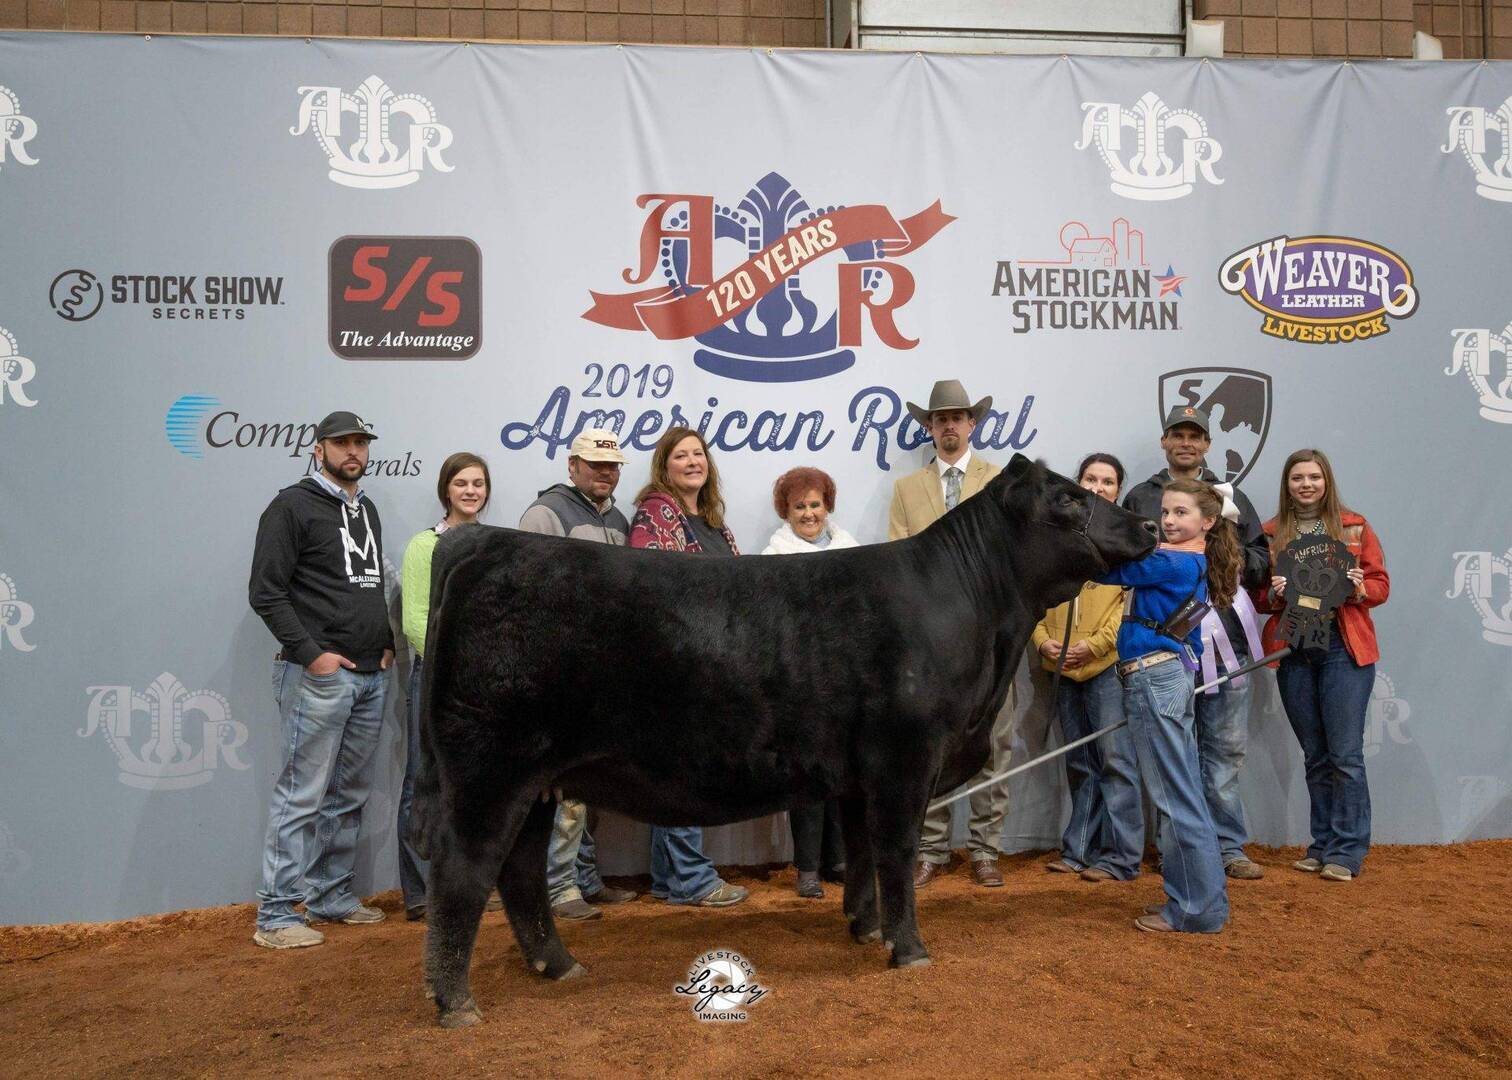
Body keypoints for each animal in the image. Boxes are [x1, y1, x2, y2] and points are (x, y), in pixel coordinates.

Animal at [410, 454, 1157, 1027]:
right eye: (1068, 499)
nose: (1149, 523)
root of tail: (480, 543)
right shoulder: (905, 759)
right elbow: (894, 851)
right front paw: (909, 949)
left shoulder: (860, 772)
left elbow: (861, 853)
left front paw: (866, 928)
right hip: (488, 771)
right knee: (464, 871)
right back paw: (456, 1002)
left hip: (537, 780)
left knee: (519, 873)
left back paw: (559, 966)